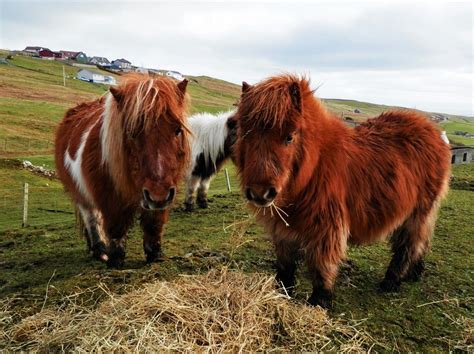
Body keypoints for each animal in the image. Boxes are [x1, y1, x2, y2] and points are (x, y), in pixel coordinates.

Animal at [55, 75, 189, 268]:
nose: (158, 193)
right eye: (132, 132)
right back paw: (99, 251)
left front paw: (155, 256)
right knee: (92, 219)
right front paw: (115, 260)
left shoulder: (162, 195)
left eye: (178, 129)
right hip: (81, 194)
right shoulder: (110, 198)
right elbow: (116, 228)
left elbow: (153, 226)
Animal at [233, 74, 452, 306]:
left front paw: (319, 303)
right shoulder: (283, 230)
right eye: (245, 134)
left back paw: (391, 282)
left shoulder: (326, 229)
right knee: (422, 240)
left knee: (409, 245)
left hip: (418, 212)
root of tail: (434, 131)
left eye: (289, 137)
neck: (316, 163)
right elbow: (285, 267)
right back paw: (415, 273)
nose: (260, 193)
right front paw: (282, 294)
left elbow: (321, 267)